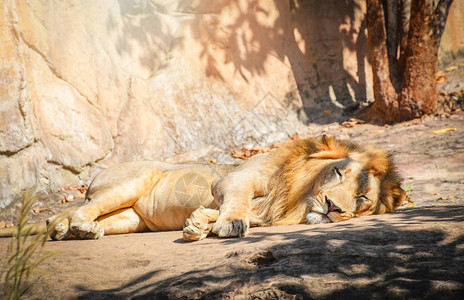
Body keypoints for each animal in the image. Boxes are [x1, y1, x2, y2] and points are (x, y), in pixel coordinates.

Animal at [44, 136, 406, 241]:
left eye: (362, 197)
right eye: (338, 172)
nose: (333, 206)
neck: (296, 199)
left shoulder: (267, 213)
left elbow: (223, 213)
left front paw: (198, 224)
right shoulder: (234, 179)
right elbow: (238, 202)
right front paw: (228, 224)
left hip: (129, 220)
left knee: (84, 212)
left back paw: (65, 228)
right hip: (131, 182)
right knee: (83, 207)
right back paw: (77, 228)